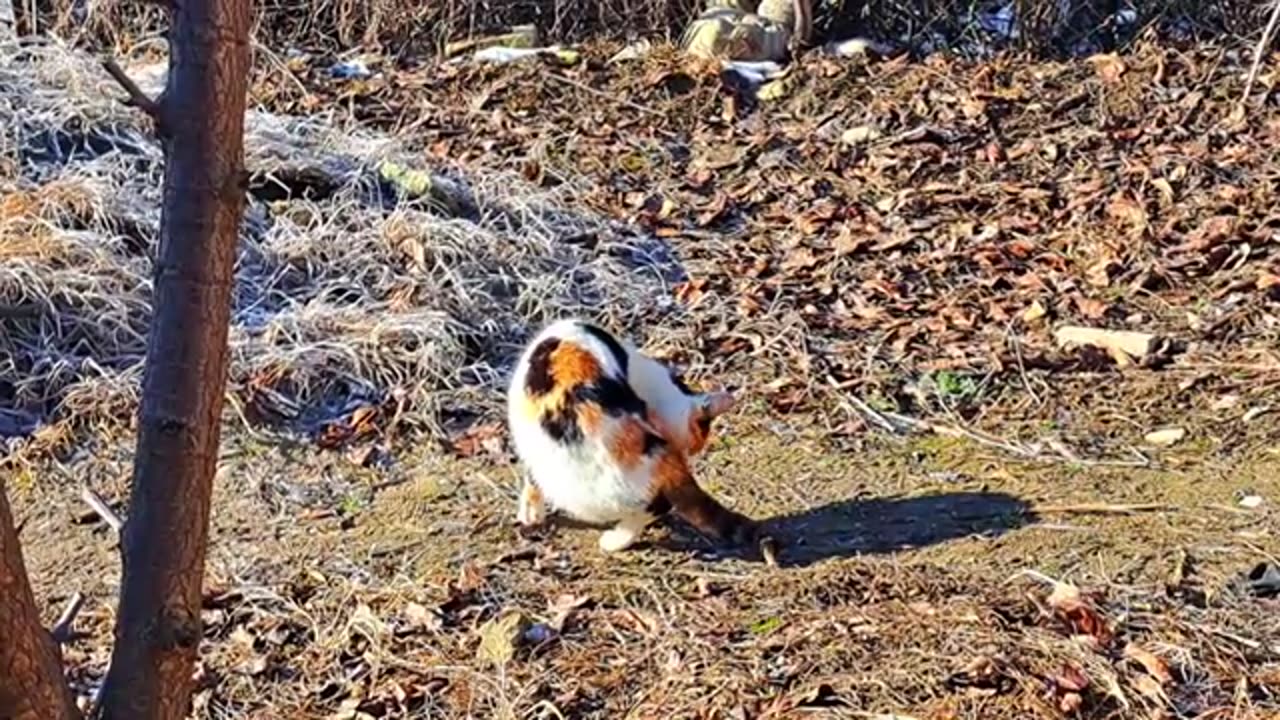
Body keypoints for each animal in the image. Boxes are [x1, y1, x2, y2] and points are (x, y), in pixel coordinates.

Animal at [504, 316, 752, 550]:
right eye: (700, 437)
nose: (694, 451)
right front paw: (531, 514)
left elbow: (530, 479)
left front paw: (530, 513)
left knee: (655, 508)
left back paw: (613, 542)